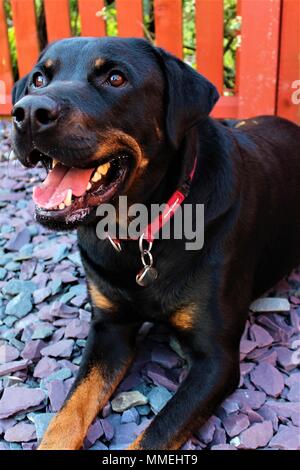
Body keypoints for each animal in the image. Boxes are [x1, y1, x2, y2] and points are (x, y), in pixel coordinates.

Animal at [10, 36, 300, 448]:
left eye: (116, 78)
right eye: (38, 78)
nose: (29, 112)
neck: (139, 232)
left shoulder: (216, 360)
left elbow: (155, 434)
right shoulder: (109, 329)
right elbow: (66, 415)